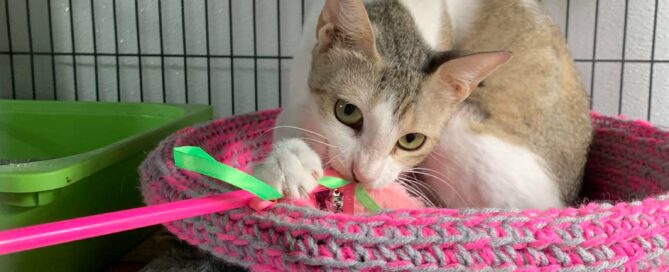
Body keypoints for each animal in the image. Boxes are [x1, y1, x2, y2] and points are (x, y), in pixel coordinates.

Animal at [253, 0, 592, 208]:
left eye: (411, 139)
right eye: (347, 112)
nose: (363, 173)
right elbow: (291, 114)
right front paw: (289, 161)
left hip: (460, 130)